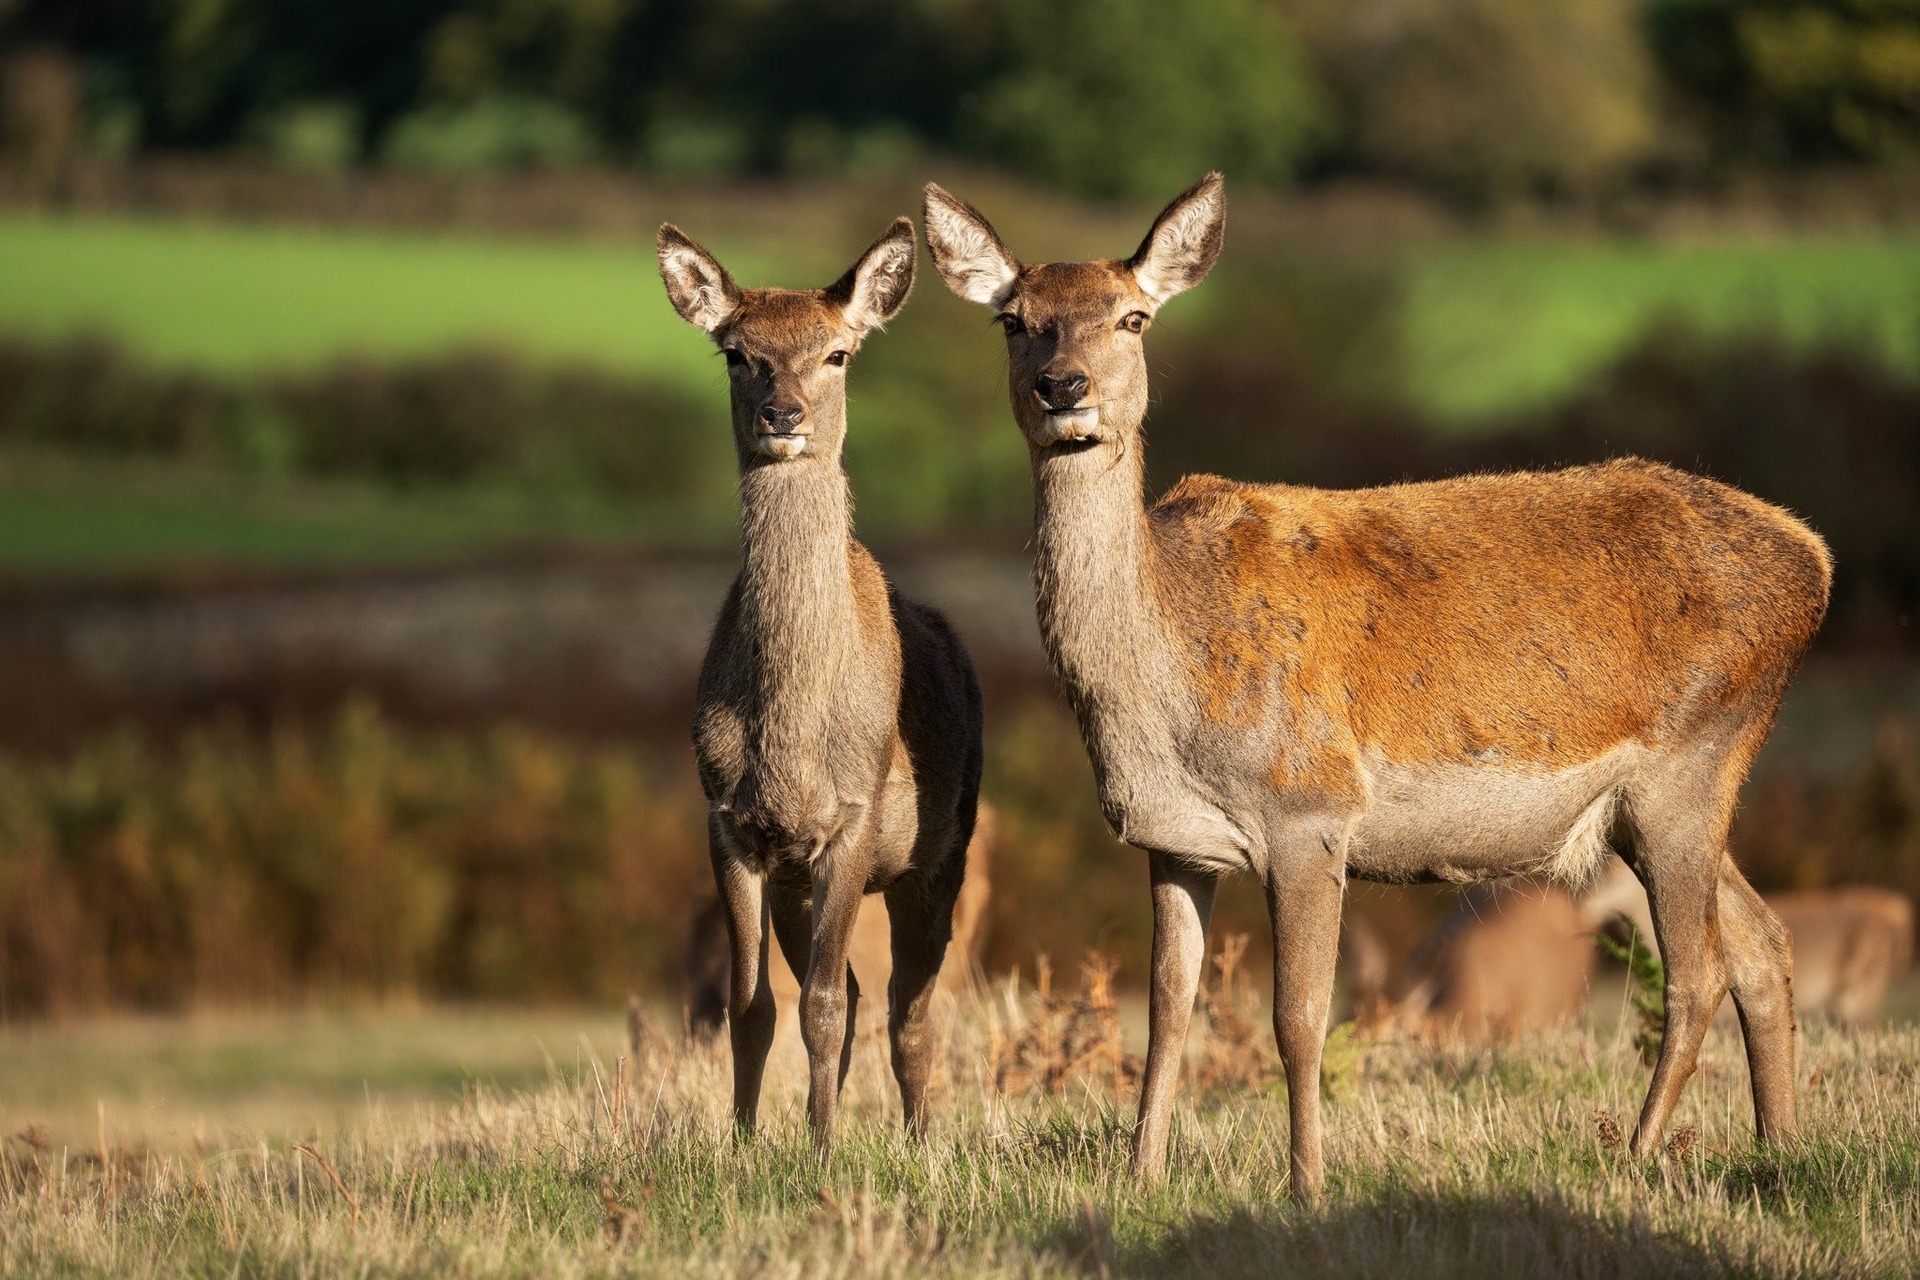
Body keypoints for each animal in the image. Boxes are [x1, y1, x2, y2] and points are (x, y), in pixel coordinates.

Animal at [664, 214, 990, 1143]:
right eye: (736, 353)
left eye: (838, 352)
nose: (785, 414)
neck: (791, 742)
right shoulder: (733, 825)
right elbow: (752, 1007)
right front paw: (743, 1146)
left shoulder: (852, 818)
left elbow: (821, 1007)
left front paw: (819, 1150)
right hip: (802, 881)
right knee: (846, 988)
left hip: (943, 853)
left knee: (907, 1007)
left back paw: (919, 1140)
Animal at [925, 172, 1827, 1205]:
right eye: (1015, 320)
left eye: (1132, 316)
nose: (1063, 385)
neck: (1166, 684)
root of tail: (1815, 563)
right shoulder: (1173, 839)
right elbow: (1168, 1007)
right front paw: (1142, 1176)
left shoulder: (1310, 809)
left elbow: (1299, 1016)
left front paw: (1307, 1185)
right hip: (1659, 803)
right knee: (1763, 944)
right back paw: (1779, 1151)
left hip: (1691, 760)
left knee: (1699, 970)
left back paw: (1632, 1158)